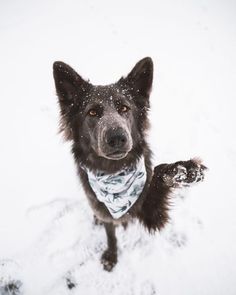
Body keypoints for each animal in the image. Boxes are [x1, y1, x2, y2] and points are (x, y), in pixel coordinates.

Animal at [52, 57, 206, 272]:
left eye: (124, 108)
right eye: (92, 112)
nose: (117, 137)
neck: (114, 171)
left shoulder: (152, 213)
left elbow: (158, 172)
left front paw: (184, 170)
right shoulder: (106, 213)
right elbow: (110, 234)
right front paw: (111, 255)